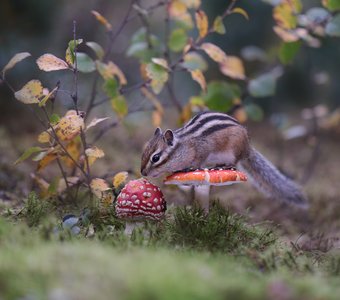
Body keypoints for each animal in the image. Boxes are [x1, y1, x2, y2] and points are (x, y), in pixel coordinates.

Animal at [141, 111, 308, 207]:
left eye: (156, 158)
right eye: (144, 153)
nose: (143, 173)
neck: (184, 145)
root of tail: (247, 148)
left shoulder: (202, 150)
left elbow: (198, 162)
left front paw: (189, 168)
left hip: (233, 151)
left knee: (234, 163)